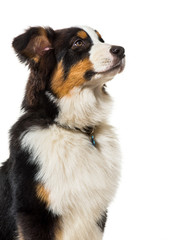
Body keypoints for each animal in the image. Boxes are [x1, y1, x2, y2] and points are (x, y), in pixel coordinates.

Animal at [0, 26, 125, 240]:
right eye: (78, 43)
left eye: (101, 39)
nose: (121, 50)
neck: (73, 128)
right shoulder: (34, 212)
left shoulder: (96, 215)